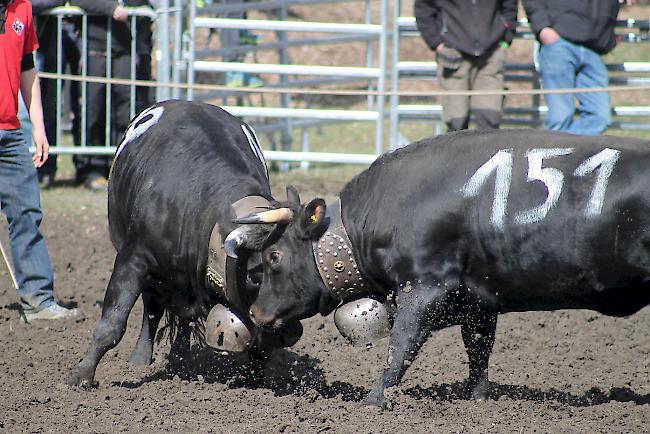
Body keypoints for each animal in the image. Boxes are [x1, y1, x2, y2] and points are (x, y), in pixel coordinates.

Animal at [65, 99, 294, 386]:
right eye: (256, 276)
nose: (288, 330)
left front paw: (256, 381)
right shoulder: (133, 258)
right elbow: (112, 323)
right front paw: (80, 376)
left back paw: (178, 359)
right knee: (152, 307)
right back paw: (140, 359)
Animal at [229, 130, 650, 410]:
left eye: (274, 257)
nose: (257, 312)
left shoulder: (426, 287)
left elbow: (401, 345)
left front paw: (374, 400)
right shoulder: (479, 300)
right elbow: (478, 352)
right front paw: (476, 400)